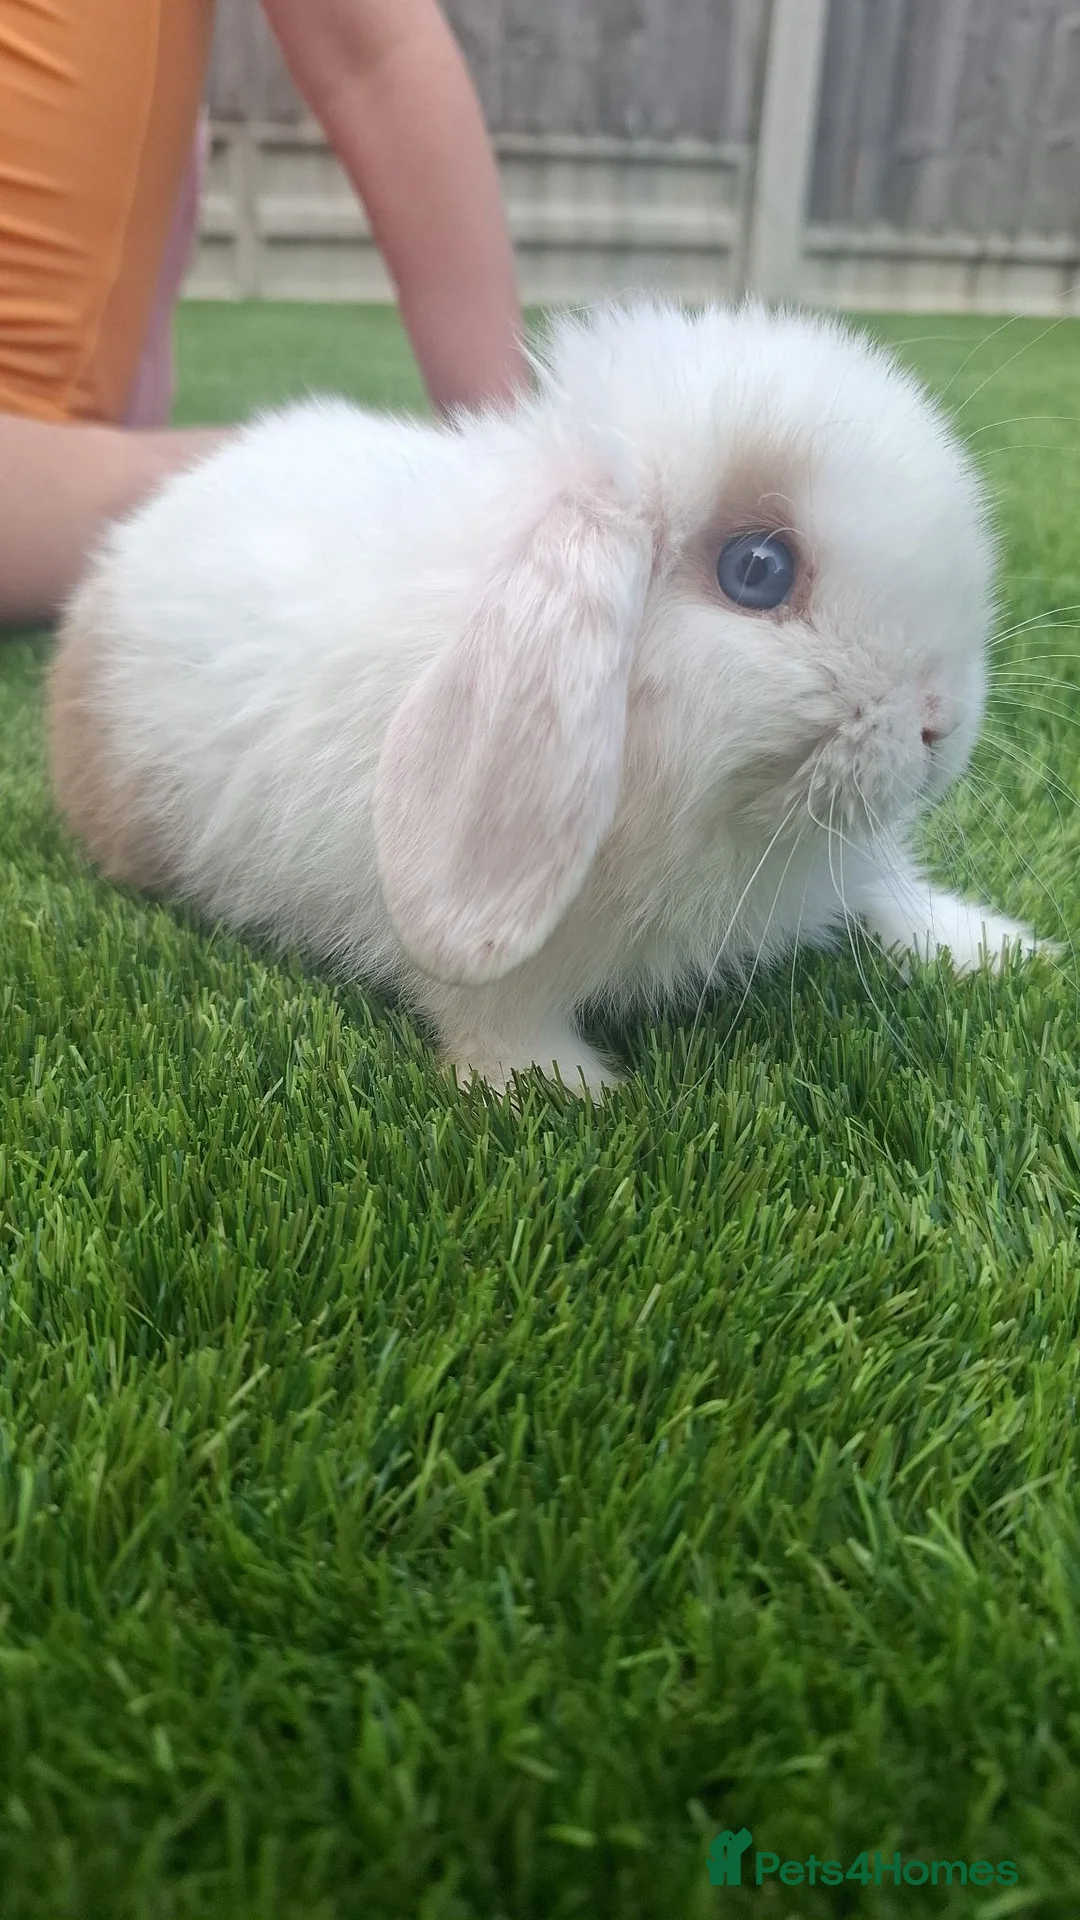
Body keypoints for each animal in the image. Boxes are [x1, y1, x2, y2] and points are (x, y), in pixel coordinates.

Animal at [49, 297, 1050, 1098]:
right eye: (757, 570)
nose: (942, 723)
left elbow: (885, 888)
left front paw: (998, 948)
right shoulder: (485, 966)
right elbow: (492, 1013)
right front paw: (567, 1091)